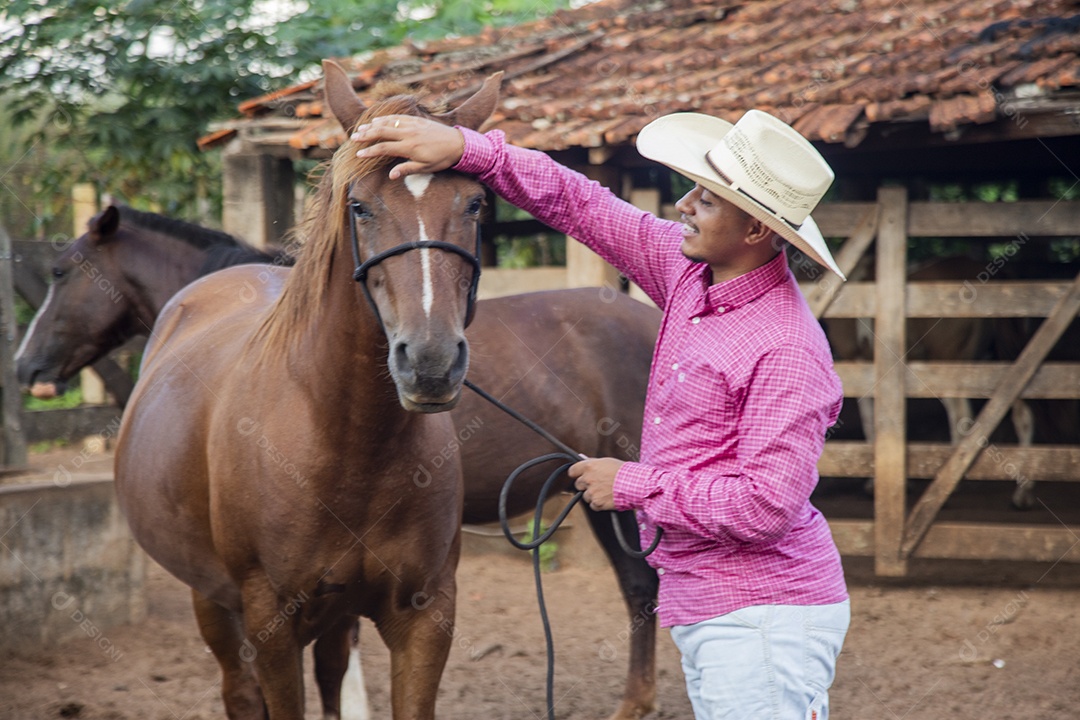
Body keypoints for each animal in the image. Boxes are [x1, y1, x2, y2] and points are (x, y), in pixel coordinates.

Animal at [114, 60, 499, 719]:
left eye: (474, 203)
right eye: (359, 205)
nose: (429, 362)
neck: (349, 442)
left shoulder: (424, 618)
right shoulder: (271, 622)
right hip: (212, 601)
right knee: (240, 692)